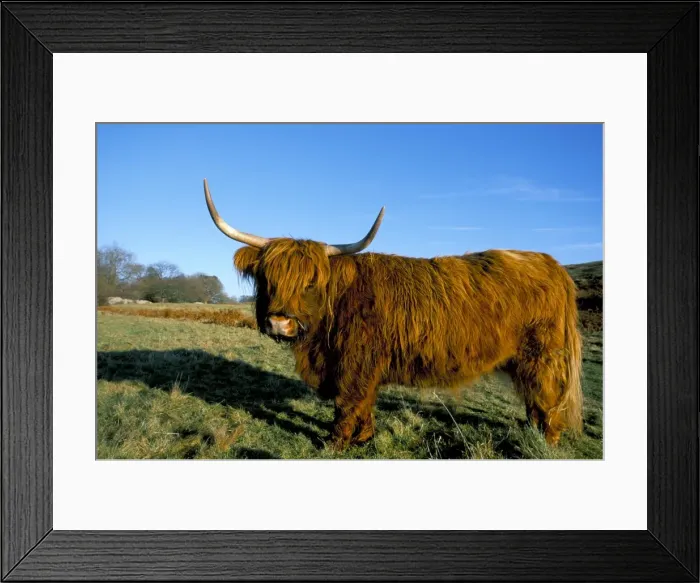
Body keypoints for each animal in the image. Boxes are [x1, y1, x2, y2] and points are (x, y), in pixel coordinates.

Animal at [203, 179, 584, 451]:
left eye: (311, 281)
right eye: (268, 278)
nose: (279, 323)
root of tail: (551, 263)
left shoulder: (355, 364)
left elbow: (347, 404)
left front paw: (335, 443)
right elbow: (364, 404)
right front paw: (362, 439)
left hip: (541, 356)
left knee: (547, 399)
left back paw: (546, 442)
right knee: (534, 401)